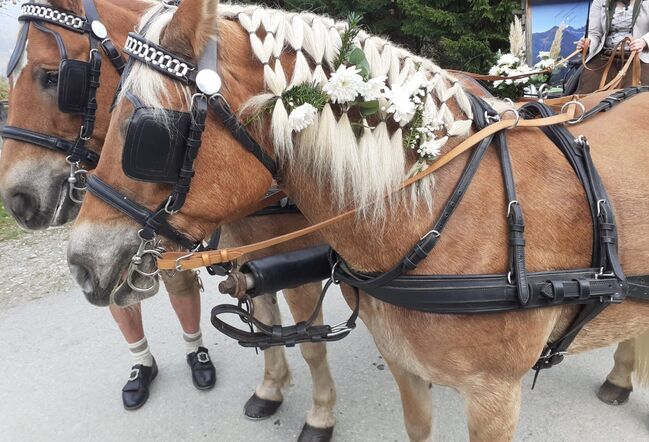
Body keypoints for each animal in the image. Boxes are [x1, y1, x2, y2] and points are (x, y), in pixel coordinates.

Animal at [1, 0, 340, 436]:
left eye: (52, 77)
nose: (16, 199)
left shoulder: (293, 258)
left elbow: (311, 343)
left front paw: (320, 414)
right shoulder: (249, 256)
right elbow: (265, 320)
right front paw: (270, 390)